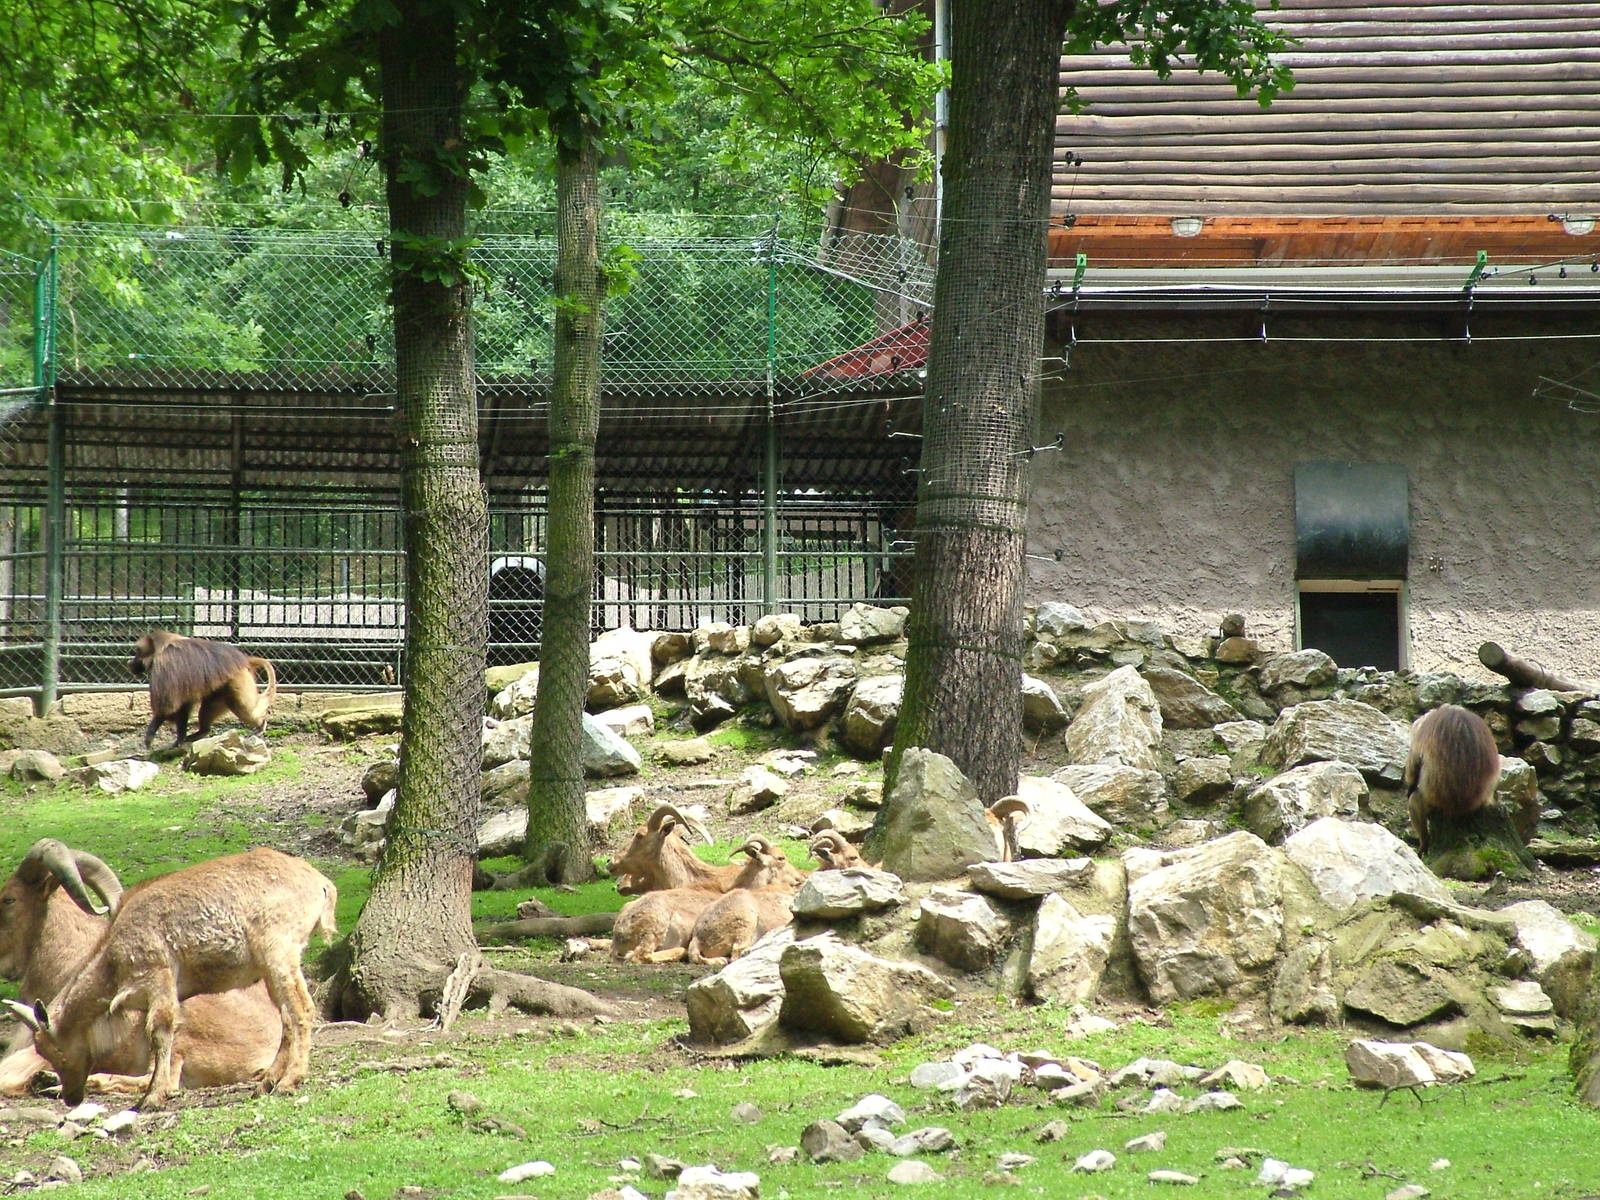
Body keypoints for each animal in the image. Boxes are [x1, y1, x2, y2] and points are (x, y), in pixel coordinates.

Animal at [4, 847, 336, 1109]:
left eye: (52, 1048)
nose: (73, 1098)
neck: (111, 956)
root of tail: (321, 884)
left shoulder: (157, 975)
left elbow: (160, 1031)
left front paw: (153, 1097)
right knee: (287, 1016)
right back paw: (267, 1083)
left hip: (278, 953)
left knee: (301, 1009)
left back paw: (289, 1081)